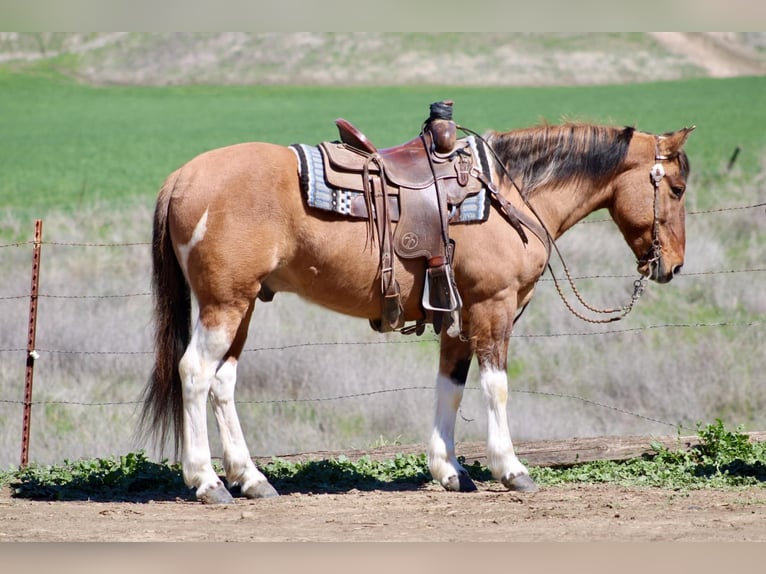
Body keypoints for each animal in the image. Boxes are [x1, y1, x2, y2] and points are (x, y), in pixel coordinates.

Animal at [140, 116, 696, 504]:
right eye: (676, 188)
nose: (672, 265)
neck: (509, 196)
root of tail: (183, 177)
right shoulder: (492, 307)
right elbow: (495, 387)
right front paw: (511, 469)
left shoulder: (457, 316)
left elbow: (450, 388)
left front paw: (450, 471)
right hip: (224, 304)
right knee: (195, 373)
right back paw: (207, 481)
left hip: (242, 305)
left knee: (223, 382)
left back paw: (251, 479)